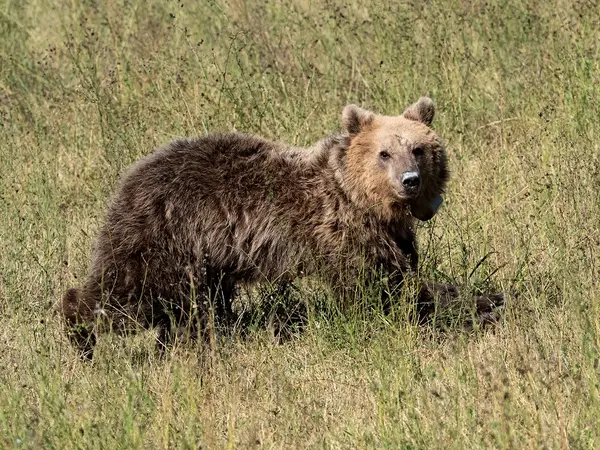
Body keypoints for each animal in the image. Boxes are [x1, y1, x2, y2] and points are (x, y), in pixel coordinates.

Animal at [59, 97, 502, 358]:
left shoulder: (392, 235)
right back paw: (81, 335)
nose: (409, 180)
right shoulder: (343, 233)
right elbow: (382, 290)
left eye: (419, 148)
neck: (364, 200)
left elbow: (405, 275)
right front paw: (475, 306)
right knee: (128, 294)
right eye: (384, 153)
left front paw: (486, 299)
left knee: (192, 308)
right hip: (166, 237)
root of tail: (132, 176)